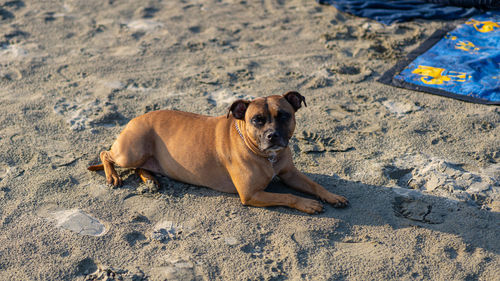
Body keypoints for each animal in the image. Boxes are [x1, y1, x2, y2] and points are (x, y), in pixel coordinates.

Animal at [88, 92, 348, 212]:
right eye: (257, 120)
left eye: (284, 115)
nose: (272, 135)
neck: (267, 156)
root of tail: (135, 118)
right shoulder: (251, 194)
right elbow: (288, 196)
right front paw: (308, 204)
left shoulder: (290, 174)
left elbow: (315, 185)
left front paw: (332, 196)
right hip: (131, 150)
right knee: (105, 153)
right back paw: (113, 176)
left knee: (140, 167)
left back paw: (151, 179)